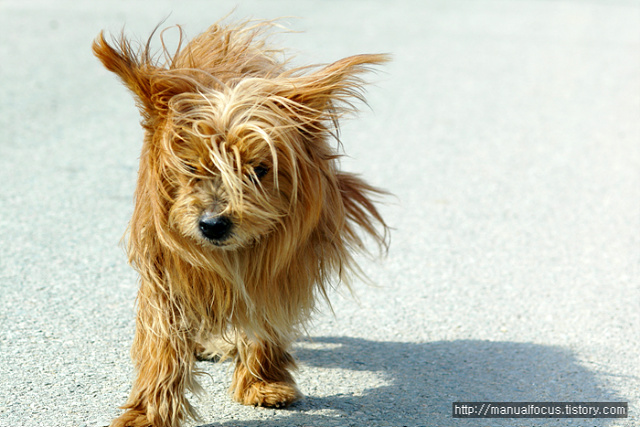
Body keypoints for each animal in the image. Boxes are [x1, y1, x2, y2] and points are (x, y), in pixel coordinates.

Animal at [92, 19, 388, 427]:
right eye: (191, 167)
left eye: (258, 170)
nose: (213, 224)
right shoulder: (167, 271)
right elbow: (163, 341)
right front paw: (149, 412)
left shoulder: (278, 270)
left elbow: (263, 320)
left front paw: (263, 381)